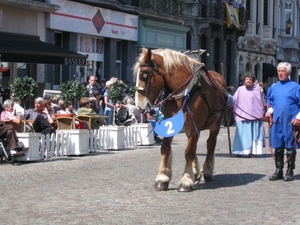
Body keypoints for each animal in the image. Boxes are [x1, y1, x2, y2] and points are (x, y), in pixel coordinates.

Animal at [134, 47, 227, 192]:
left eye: (144, 74)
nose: (139, 105)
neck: (185, 91)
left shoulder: (195, 127)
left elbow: (188, 152)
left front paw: (186, 181)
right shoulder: (170, 124)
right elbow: (166, 149)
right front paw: (162, 178)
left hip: (216, 123)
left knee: (210, 144)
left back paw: (206, 171)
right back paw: (196, 171)